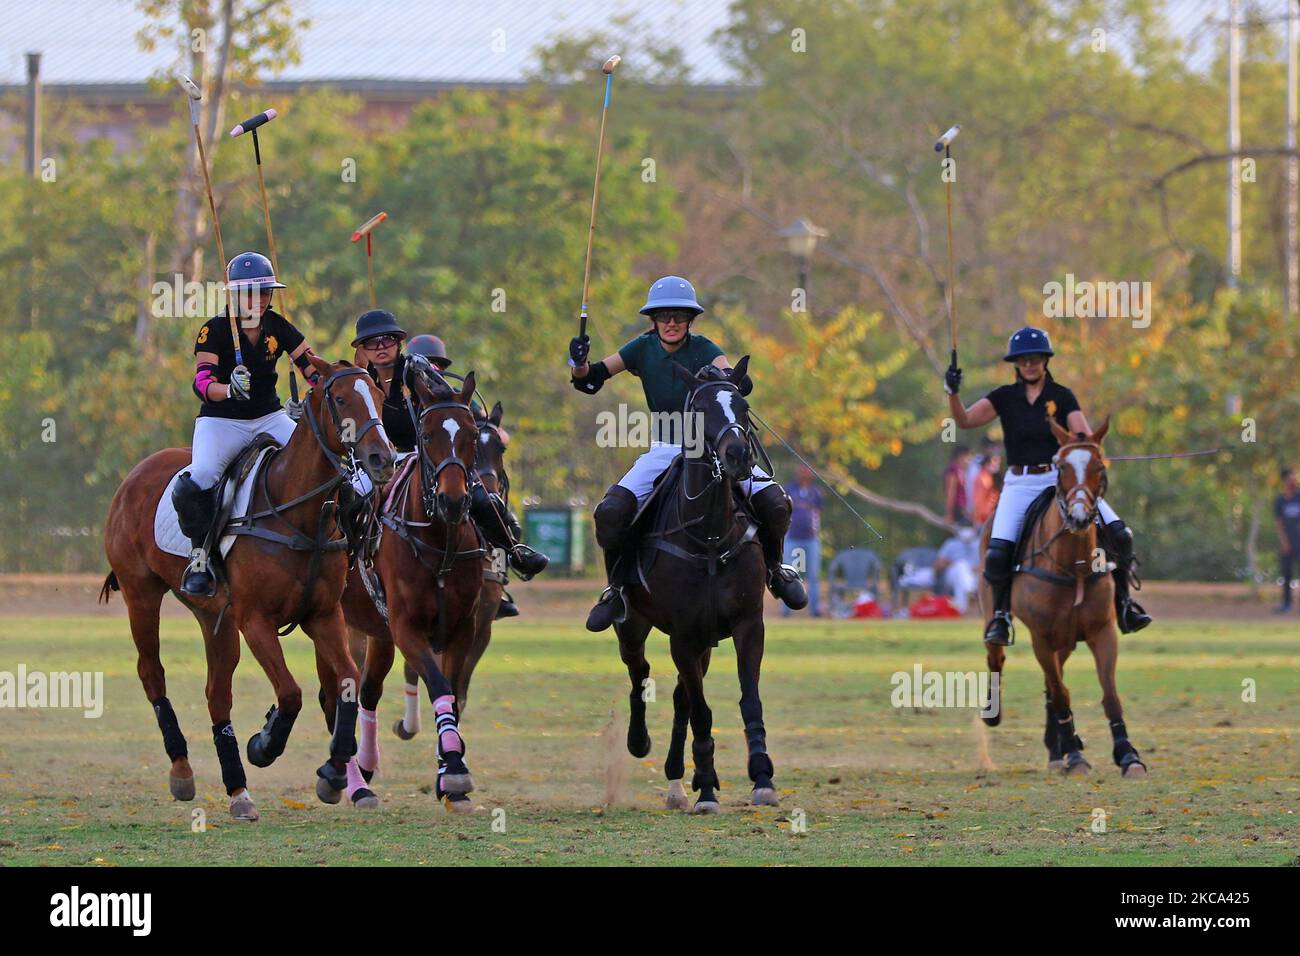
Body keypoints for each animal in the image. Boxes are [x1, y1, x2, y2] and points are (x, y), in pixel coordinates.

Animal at [100, 356, 395, 816]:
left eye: (380, 396)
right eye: (342, 399)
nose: (384, 458)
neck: (297, 513)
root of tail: (134, 474)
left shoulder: (323, 614)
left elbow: (346, 682)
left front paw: (332, 773)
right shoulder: (255, 620)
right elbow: (290, 693)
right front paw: (264, 743)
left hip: (212, 617)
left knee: (216, 692)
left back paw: (238, 790)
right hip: (140, 594)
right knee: (152, 672)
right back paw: (182, 771)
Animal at [338, 361, 486, 811]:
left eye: (471, 433)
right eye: (429, 433)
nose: (454, 501)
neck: (439, 542)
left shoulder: (462, 629)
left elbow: (452, 693)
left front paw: (448, 775)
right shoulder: (407, 629)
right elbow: (438, 686)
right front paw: (453, 771)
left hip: (378, 633)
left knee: (368, 693)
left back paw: (366, 766)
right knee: (345, 691)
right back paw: (355, 783)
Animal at [613, 358, 774, 816]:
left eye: (743, 406)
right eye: (700, 411)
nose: (738, 457)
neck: (710, 535)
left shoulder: (747, 624)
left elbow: (748, 699)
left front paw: (761, 776)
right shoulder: (683, 634)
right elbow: (702, 711)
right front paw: (706, 792)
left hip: (704, 640)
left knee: (680, 695)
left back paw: (678, 781)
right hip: (634, 625)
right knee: (640, 672)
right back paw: (644, 746)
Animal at [977, 416, 1149, 780]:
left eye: (1100, 467)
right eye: (1061, 468)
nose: (1080, 518)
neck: (1075, 566)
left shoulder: (1102, 631)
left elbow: (1108, 696)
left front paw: (1127, 755)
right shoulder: (1041, 637)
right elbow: (1061, 695)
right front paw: (1075, 754)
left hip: (1066, 640)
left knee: (1051, 683)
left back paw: (1056, 750)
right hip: (999, 614)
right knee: (998, 657)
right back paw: (995, 713)